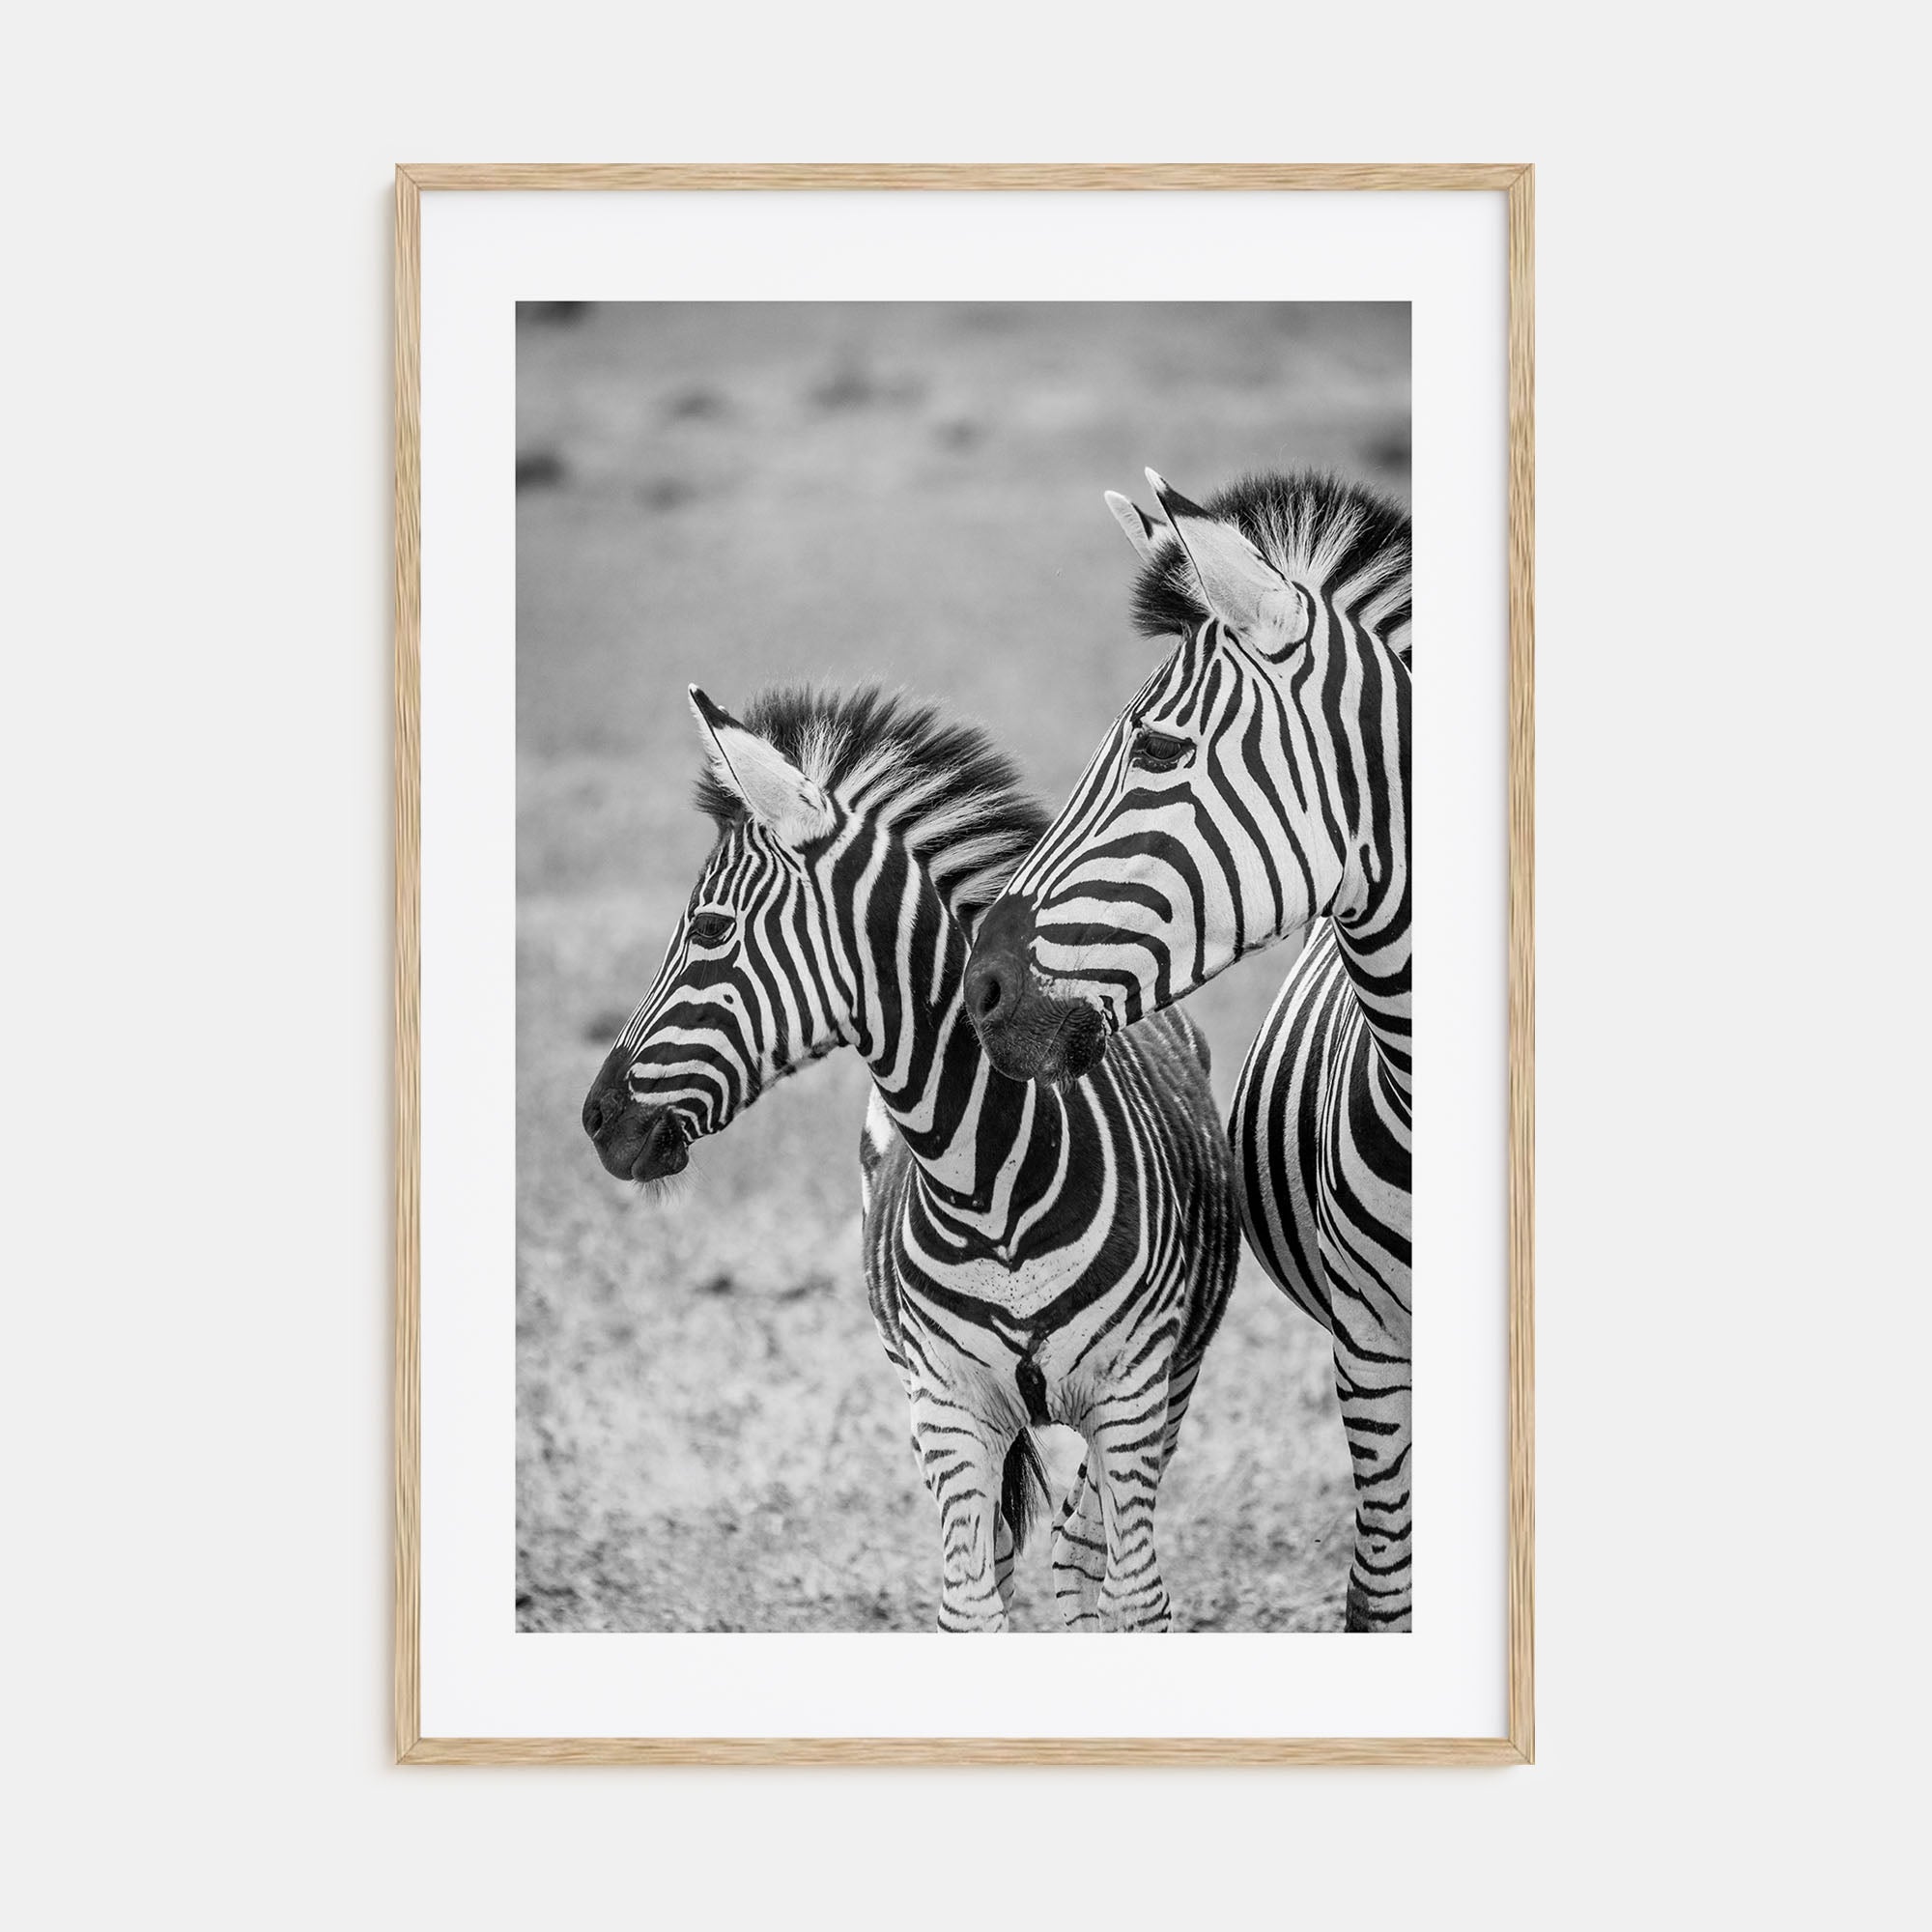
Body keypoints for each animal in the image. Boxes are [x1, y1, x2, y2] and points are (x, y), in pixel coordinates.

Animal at [580, 683, 1241, 1632]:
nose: (596, 1119)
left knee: (1083, 1553)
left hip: (1169, 1386)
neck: (991, 1185)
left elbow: (1136, 1597)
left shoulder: (1133, 1397)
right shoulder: (949, 1410)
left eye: (709, 928)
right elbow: (970, 1606)